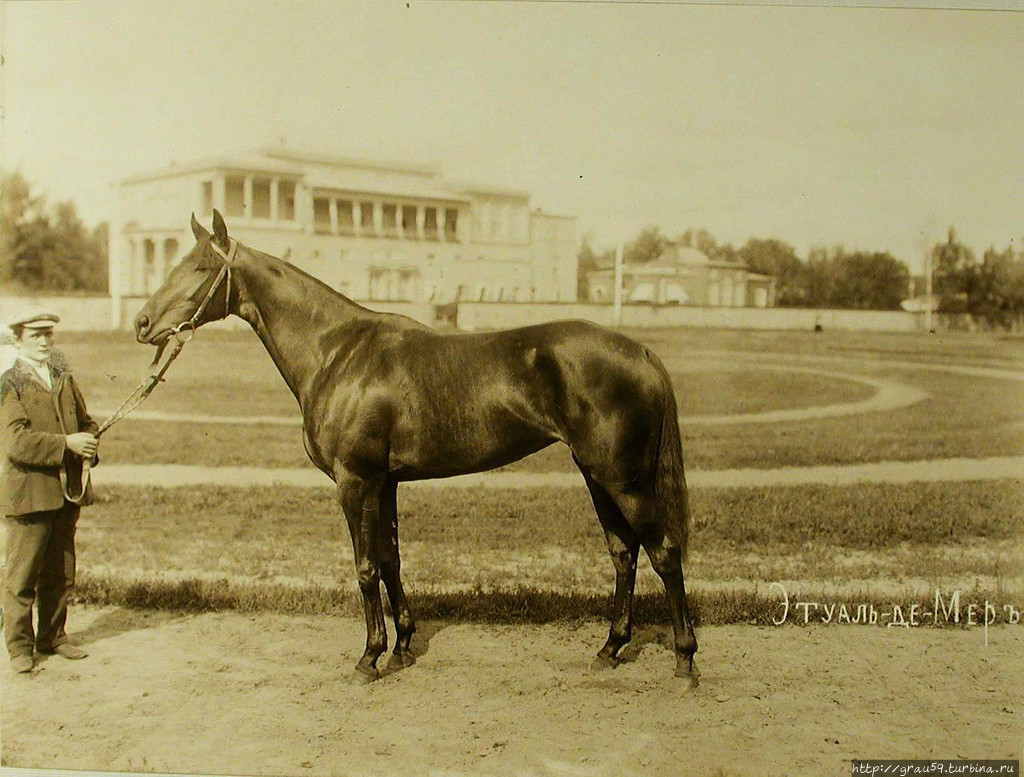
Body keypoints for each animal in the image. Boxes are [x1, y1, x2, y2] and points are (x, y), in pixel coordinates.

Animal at [132, 210, 700, 687]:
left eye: (202, 266)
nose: (142, 324)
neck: (336, 352)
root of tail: (640, 350)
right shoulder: (384, 483)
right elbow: (390, 560)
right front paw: (403, 646)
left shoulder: (354, 480)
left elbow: (364, 567)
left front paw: (369, 658)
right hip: (596, 474)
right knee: (624, 554)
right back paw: (610, 648)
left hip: (624, 480)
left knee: (663, 553)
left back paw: (685, 661)